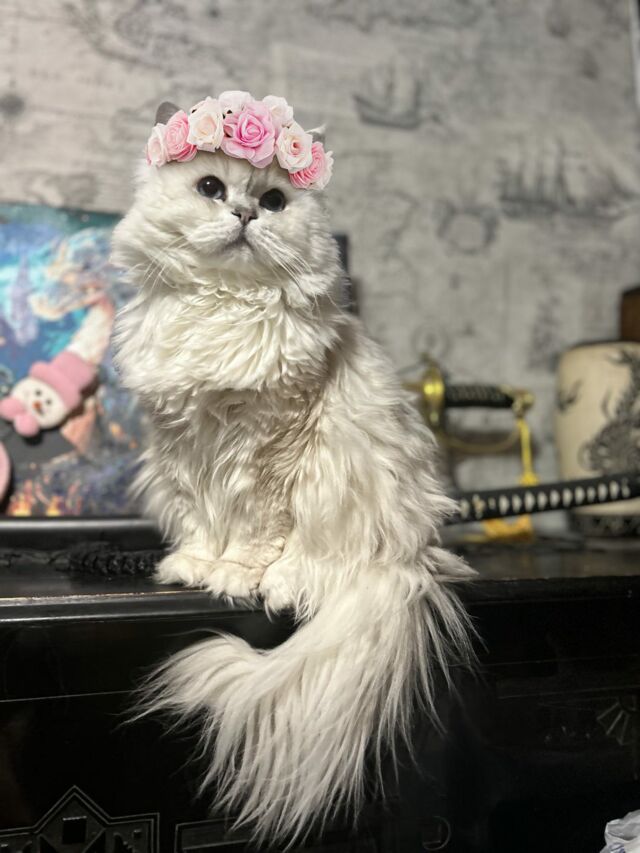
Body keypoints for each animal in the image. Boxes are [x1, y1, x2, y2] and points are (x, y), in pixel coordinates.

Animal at [112, 97, 473, 845]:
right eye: (212, 188)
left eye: (275, 200)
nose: (246, 213)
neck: (220, 306)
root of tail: (412, 564)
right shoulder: (185, 450)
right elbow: (200, 523)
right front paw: (192, 567)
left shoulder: (269, 450)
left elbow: (250, 533)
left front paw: (230, 576)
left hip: (338, 497)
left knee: (314, 570)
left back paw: (280, 582)